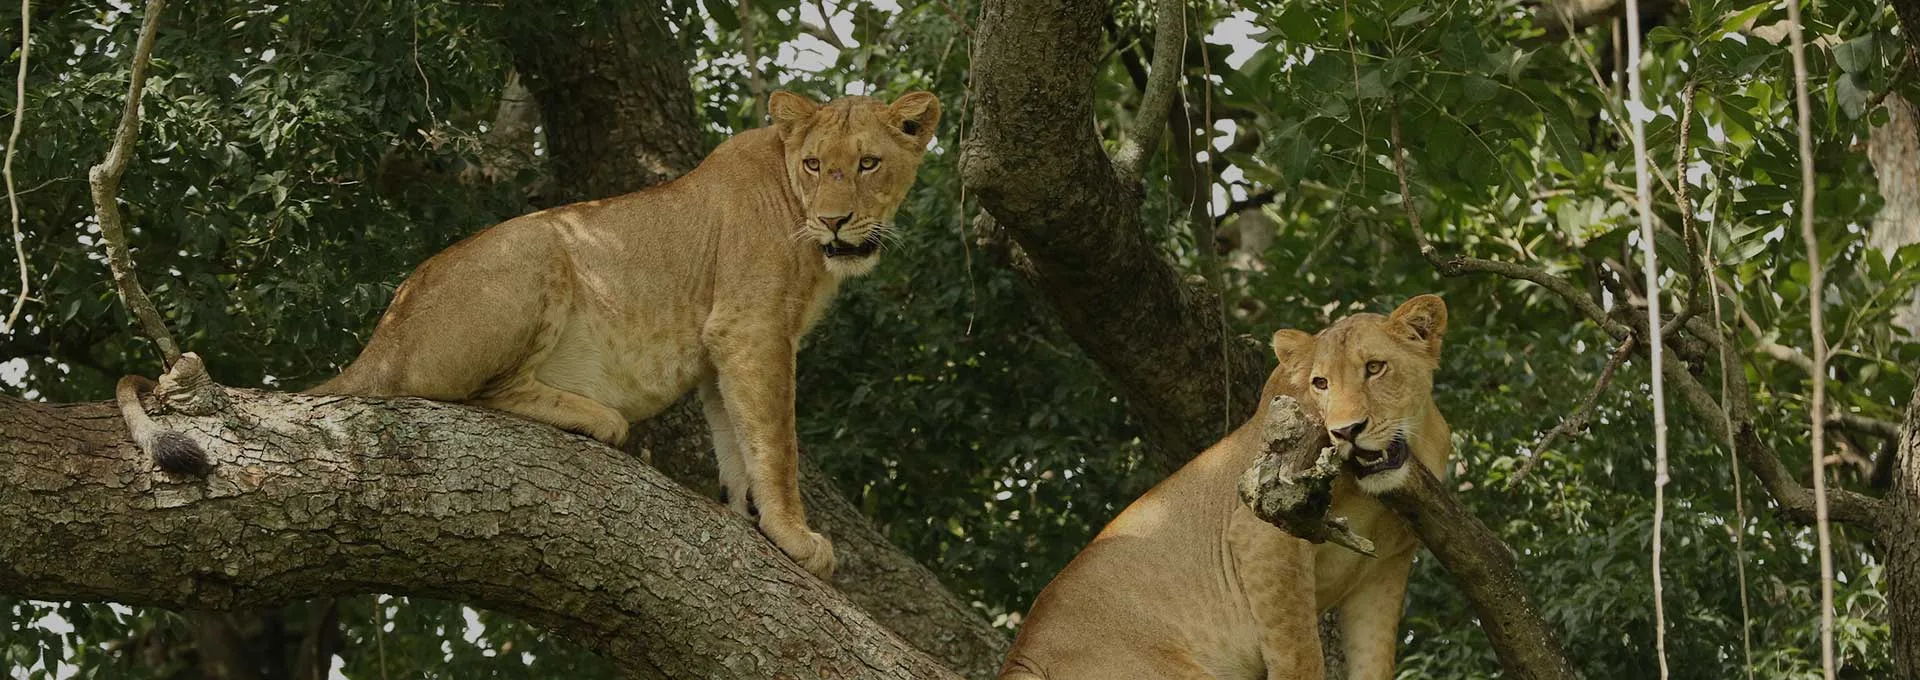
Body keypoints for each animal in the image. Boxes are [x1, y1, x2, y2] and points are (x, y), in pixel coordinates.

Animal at [115, 90, 943, 579]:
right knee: (464, 396)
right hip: (538, 248)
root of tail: (381, 337)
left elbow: (738, 439)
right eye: (816, 164)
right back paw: (596, 418)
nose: (836, 221)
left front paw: (754, 523)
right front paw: (798, 537)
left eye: (870, 163)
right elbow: (778, 444)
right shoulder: (752, 326)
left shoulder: (725, 345)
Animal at [998, 295, 1452, 680]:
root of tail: (1023, 655)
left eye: (1375, 368)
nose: (1346, 432)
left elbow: (1374, 662)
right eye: (1320, 384)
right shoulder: (1262, 533)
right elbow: (1301, 658)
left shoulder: (1385, 570)